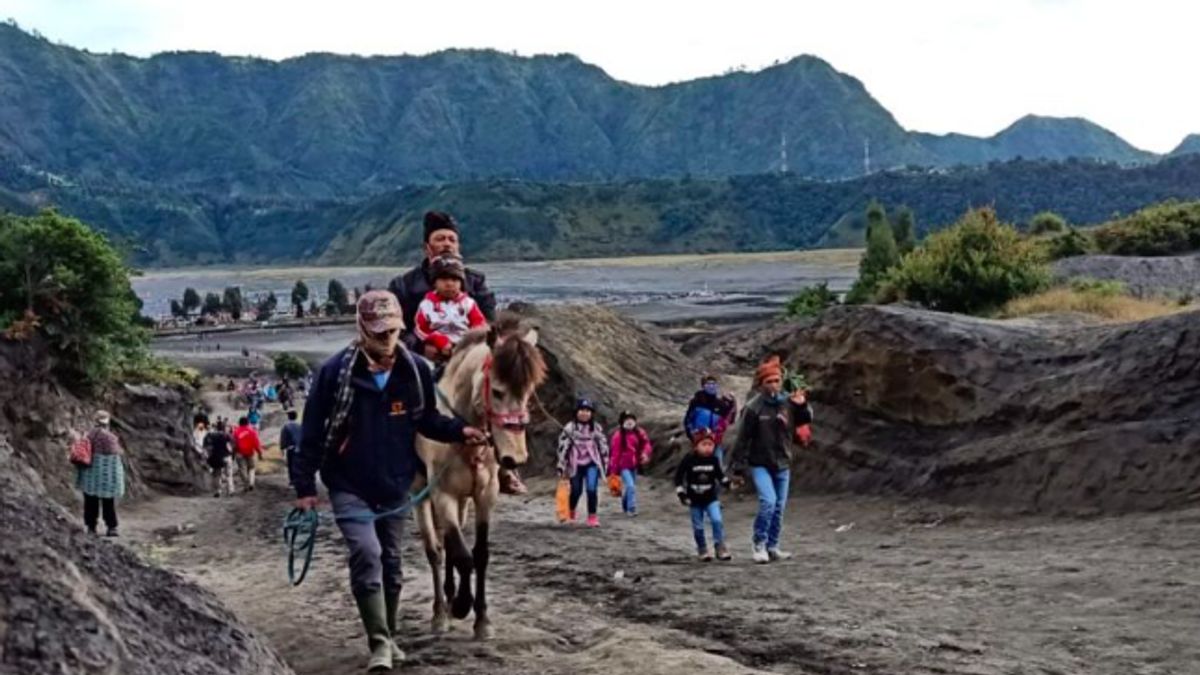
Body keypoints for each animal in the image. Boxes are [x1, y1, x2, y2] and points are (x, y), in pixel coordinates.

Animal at [412, 319, 544, 634]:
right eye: (496, 391)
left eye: (528, 393)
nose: (514, 458)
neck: (461, 434)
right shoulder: (442, 495)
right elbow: (462, 556)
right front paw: (462, 605)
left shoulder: (485, 495)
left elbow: (479, 554)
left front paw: (482, 619)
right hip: (421, 494)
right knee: (435, 550)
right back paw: (440, 612)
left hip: (463, 500)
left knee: (449, 543)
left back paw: (449, 599)